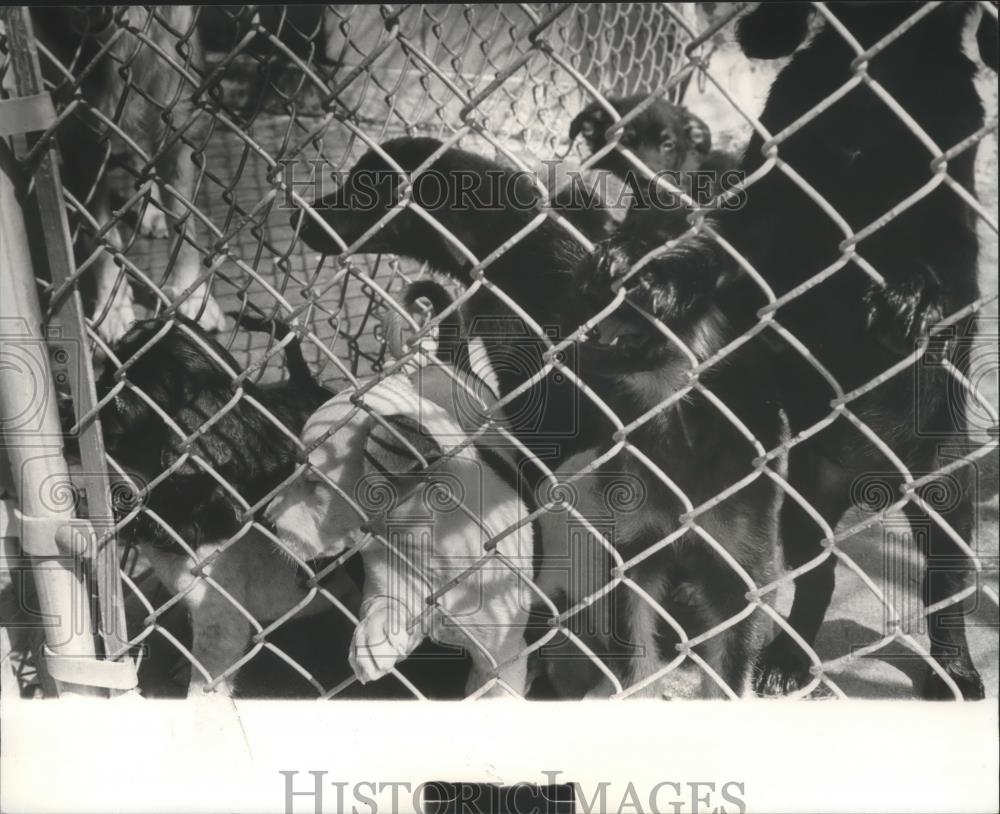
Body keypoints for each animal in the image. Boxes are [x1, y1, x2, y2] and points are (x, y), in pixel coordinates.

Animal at [32, 5, 227, 342]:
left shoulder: (177, 121)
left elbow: (184, 226)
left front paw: (192, 297)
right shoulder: (81, 140)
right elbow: (102, 238)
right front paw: (114, 309)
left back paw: (152, 213)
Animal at [262, 372, 536, 700]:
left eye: (313, 480)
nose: (266, 520)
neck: (422, 547)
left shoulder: (503, 656)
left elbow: (495, 689)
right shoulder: (386, 583)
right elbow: (385, 602)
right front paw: (375, 637)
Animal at [584, 1, 996, 700]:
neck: (874, 83)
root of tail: (873, 486)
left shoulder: (948, 210)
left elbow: (945, 267)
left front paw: (917, 299)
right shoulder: (766, 207)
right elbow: (717, 249)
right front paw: (658, 267)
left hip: (945, 500)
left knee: (944, 595)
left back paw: (956, 670)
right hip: (807, 507)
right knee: (817, 580)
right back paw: (787, 659)